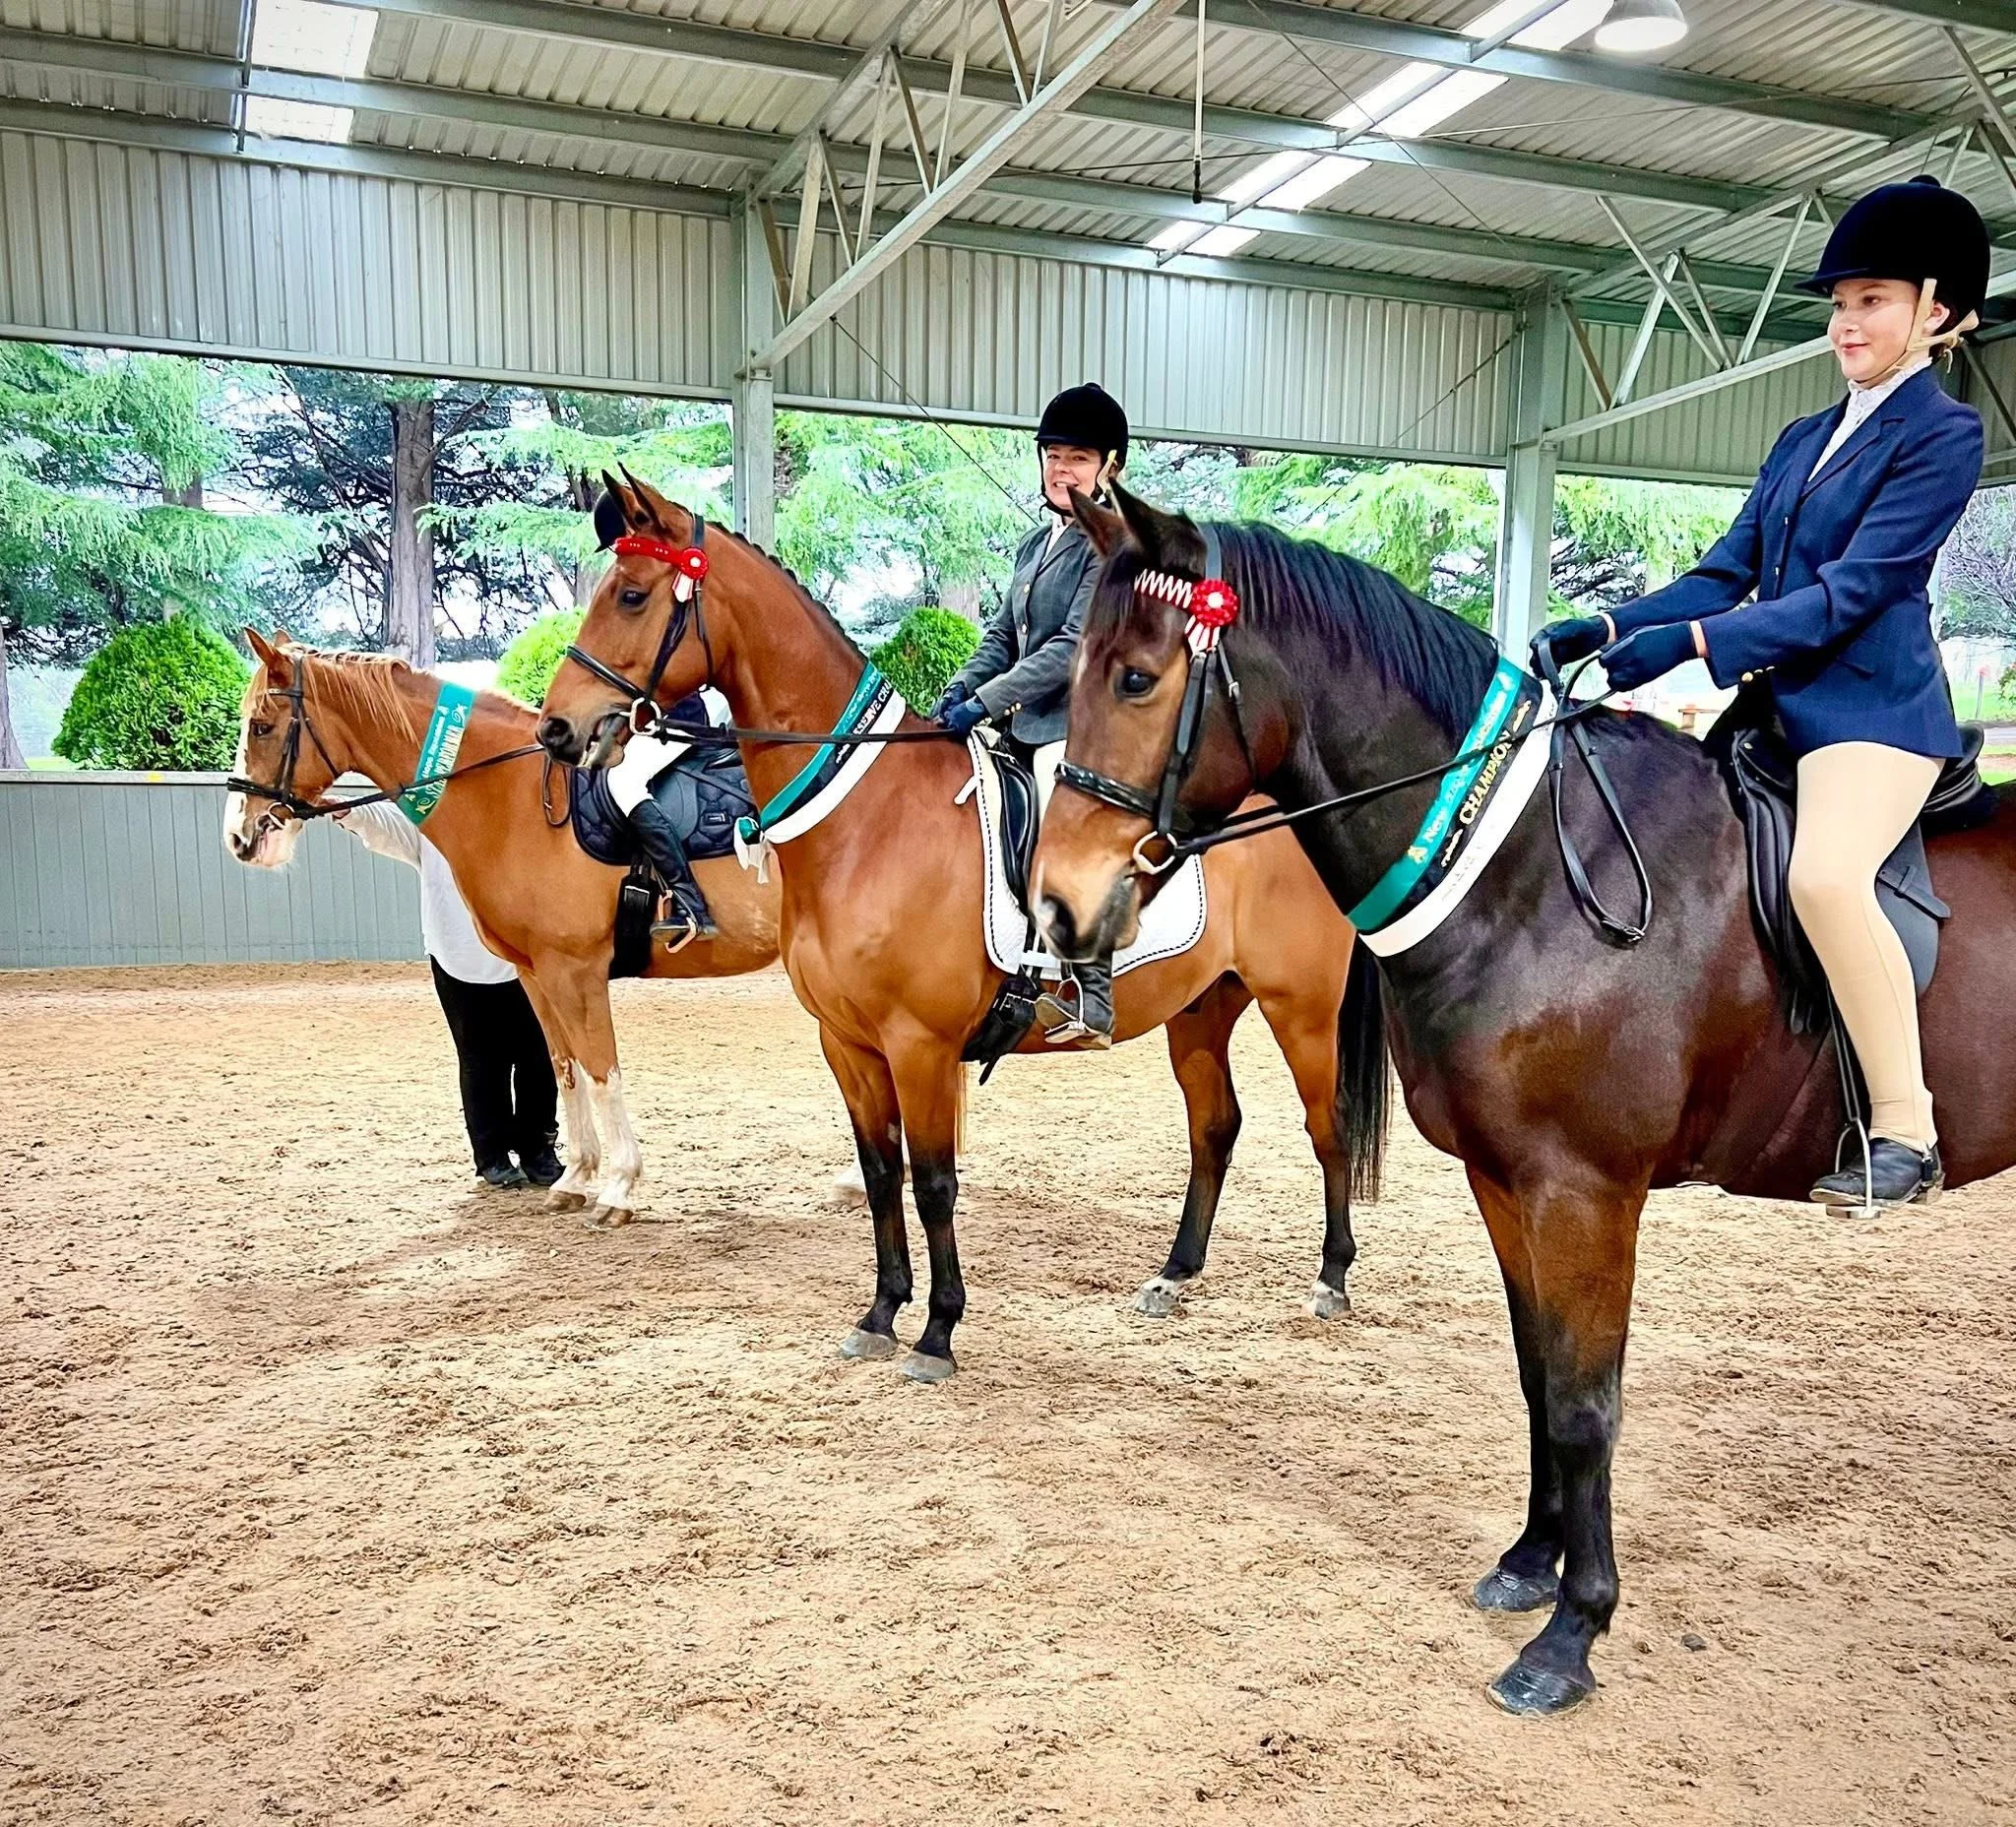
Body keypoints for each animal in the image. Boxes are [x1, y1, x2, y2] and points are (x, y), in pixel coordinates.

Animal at [222, 631, 781, 1225]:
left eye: (262, 726)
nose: (240, 837)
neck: (512, 798)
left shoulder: (576, 972)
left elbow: (601, 1070)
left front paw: (618, 1187)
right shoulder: (537, 974)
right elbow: (565, 1068)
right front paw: (574, 1178)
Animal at [534, 474, 1372, 1383]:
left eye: (630, 595)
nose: (556, 729)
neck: (866, 820)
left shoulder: (919, 1045)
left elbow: (934, 1183)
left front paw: (936, 1332)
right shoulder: (849, 1045)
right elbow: (880, 1175)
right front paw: (878, 1314)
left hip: (1302, 1009)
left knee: (1327, 1127)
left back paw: (1331, 1279)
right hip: (1202, 1009)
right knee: (1215, 1127)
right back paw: (1173, 1277)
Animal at [1029, 484, 2016, 1715]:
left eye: (1133, 678)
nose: (1057, 908)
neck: (1532, 873)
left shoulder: (1584, 1193)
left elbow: (1587, 1406)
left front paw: (1569, 1634)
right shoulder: (1507, 1182)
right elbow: (1536, 1373)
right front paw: (1527, 1563)